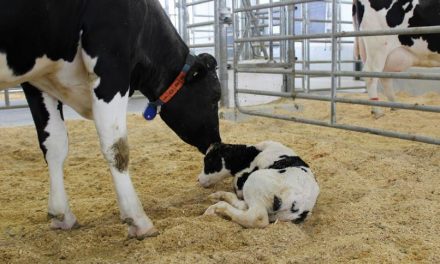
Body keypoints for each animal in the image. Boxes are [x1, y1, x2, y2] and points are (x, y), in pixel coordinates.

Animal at [0, 0, 220, 239]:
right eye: (215, 97)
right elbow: (116, 147)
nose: (217, 143)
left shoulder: (38, 80)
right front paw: (138, 220)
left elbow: (54, 144)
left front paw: (62, 214)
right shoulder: (111, 65)